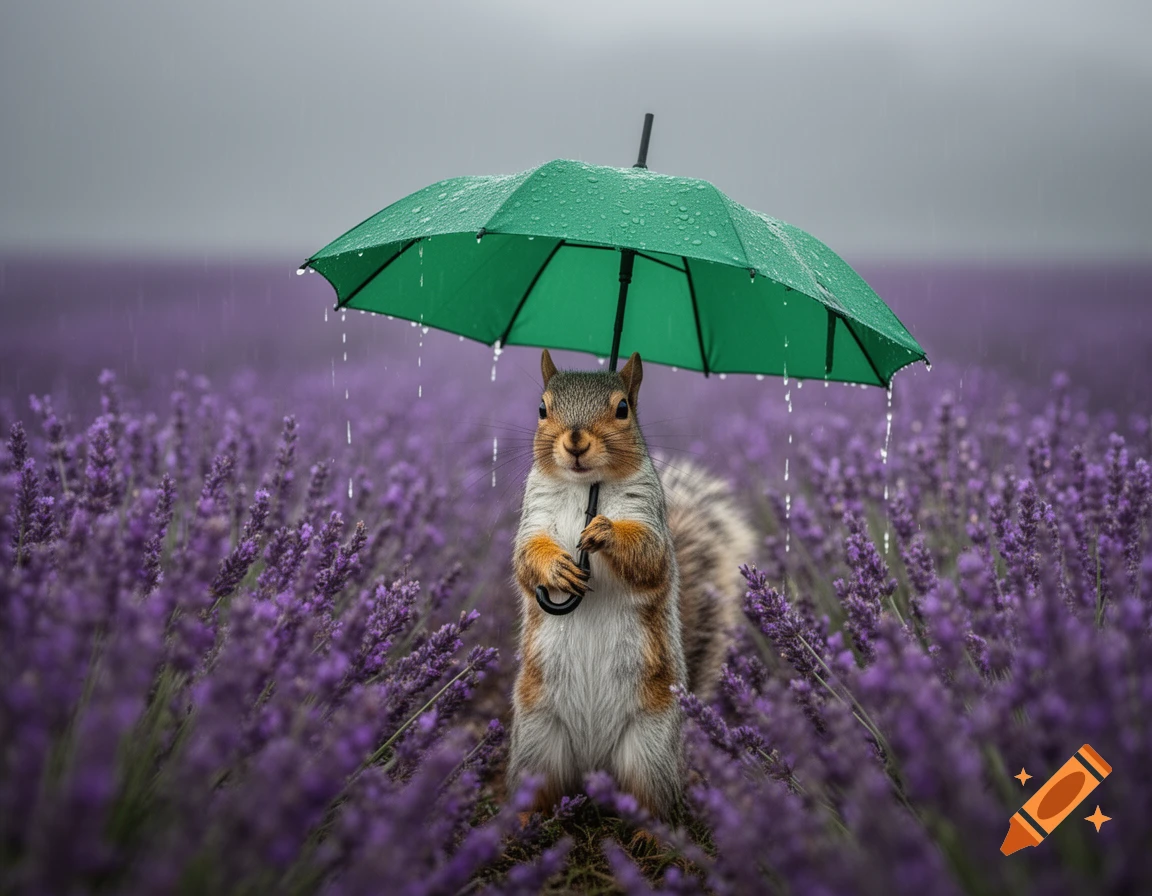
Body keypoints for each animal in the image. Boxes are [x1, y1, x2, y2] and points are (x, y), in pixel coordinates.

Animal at [507, 349, 756, 820]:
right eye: (542, 409)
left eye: (623, 408)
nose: (575, 442)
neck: (584, 488)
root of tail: (592, 768)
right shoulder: (534, 515)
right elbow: (527, 560)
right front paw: (556, 569)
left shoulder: (649, 518)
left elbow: (648, 557)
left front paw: (604, 531)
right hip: (536, 738)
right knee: (539, 787)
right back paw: (520, 820)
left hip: (649, 746)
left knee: (653, 801)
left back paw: (647, 830)